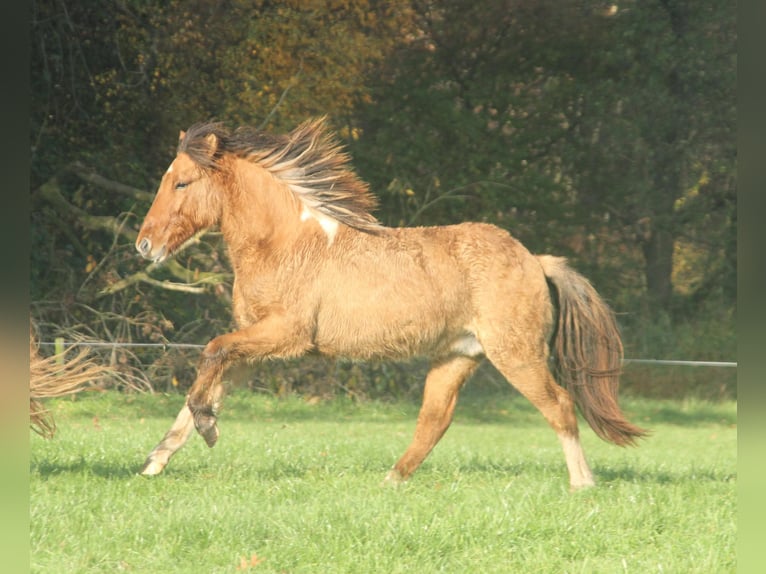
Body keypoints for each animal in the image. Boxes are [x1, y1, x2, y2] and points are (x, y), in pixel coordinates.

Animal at [135, 117, 647, 489]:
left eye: (181, 183)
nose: (144, 246)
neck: (285, 244)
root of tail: (535, 260)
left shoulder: (284, 335)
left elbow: (211, 354)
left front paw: (207, 429)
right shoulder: (256, 346)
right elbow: (206, 381)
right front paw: (156, 461)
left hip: (516, 355)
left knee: (559, 405)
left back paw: (583, 484)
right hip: (457, 357)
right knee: (435, 420)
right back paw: (391, 481)